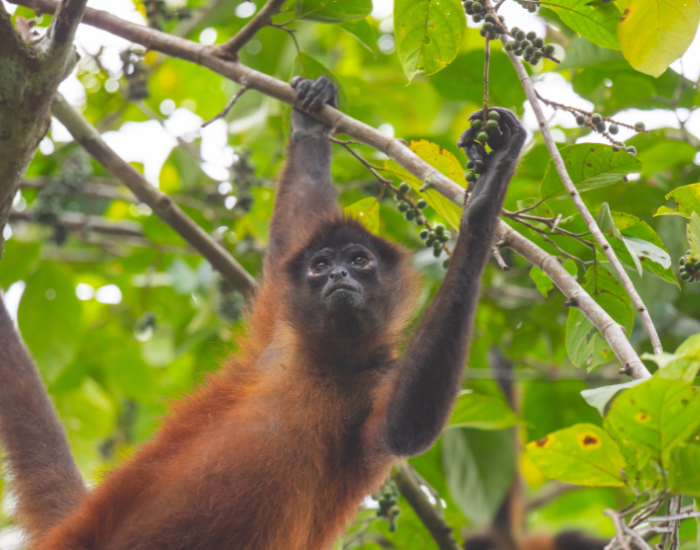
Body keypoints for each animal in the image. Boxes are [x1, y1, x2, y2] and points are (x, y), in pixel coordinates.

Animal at [0, 76, 526, 550]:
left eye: (359, 260)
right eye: (320, 266)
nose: (339, 276)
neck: (329, 361)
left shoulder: (377, 376)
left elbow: (405, 425)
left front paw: (484, 205)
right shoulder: (280, 335)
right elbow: (287, 242)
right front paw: (310, 126)